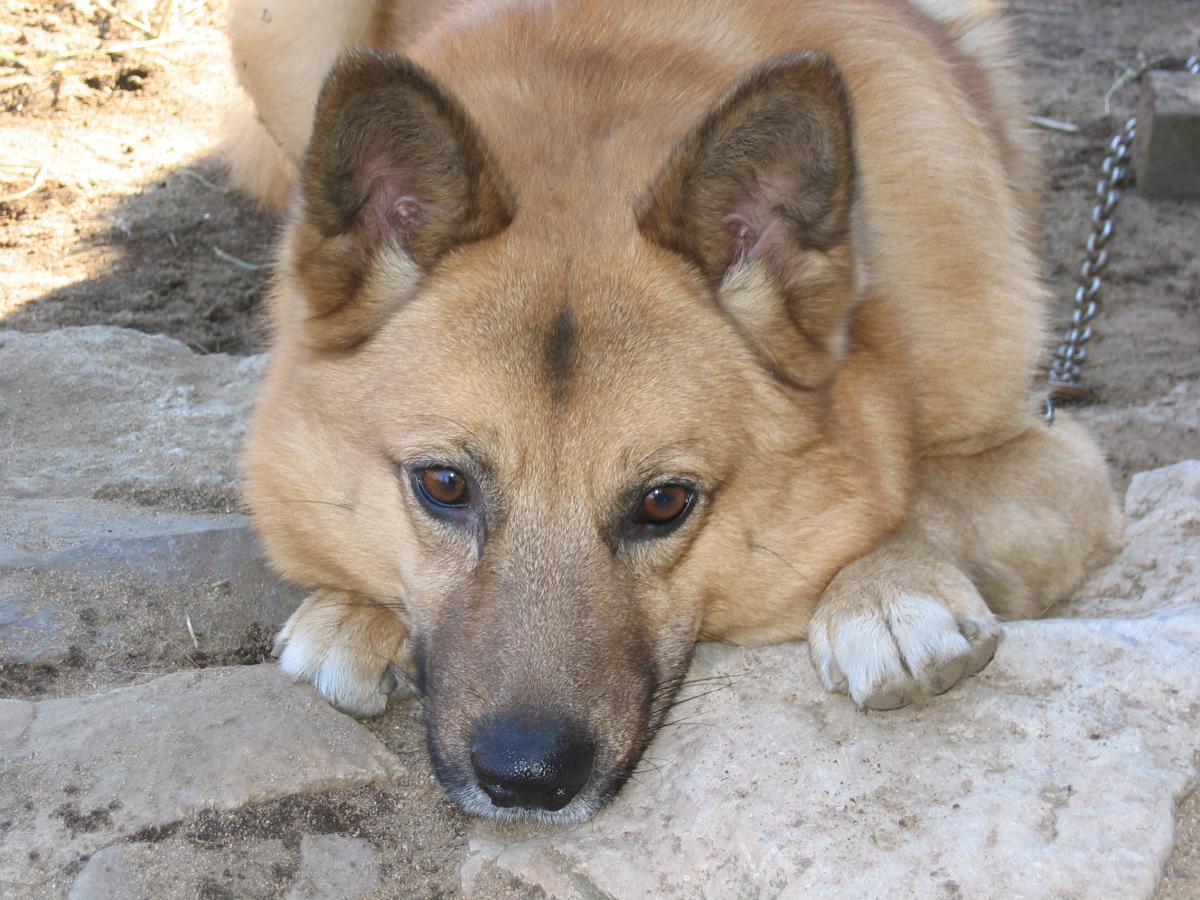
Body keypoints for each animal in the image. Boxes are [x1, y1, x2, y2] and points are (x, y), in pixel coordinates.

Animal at [228, 0, 1122, 822]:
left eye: (664, 503)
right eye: (444, 485)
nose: (526, 778)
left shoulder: (1055, 453)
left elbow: (924, 490)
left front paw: (889, 587)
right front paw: (355, 605)